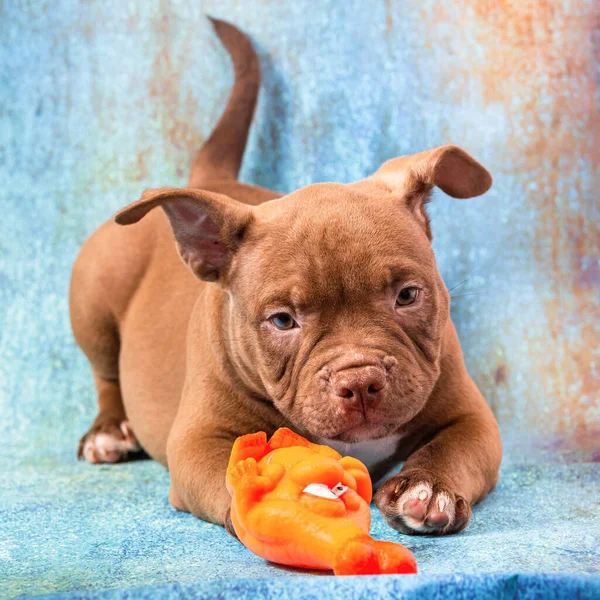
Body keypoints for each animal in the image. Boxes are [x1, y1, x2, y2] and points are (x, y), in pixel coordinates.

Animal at [70, 18, 502, 536]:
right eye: (282, 321)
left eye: (408, 295)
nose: (360, 380)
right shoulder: (199, 441)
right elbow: (231, 473)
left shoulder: (472, 418)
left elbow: (453, 448)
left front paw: (427, 487)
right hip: (92, 300)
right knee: (105, 373)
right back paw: (108, 432)